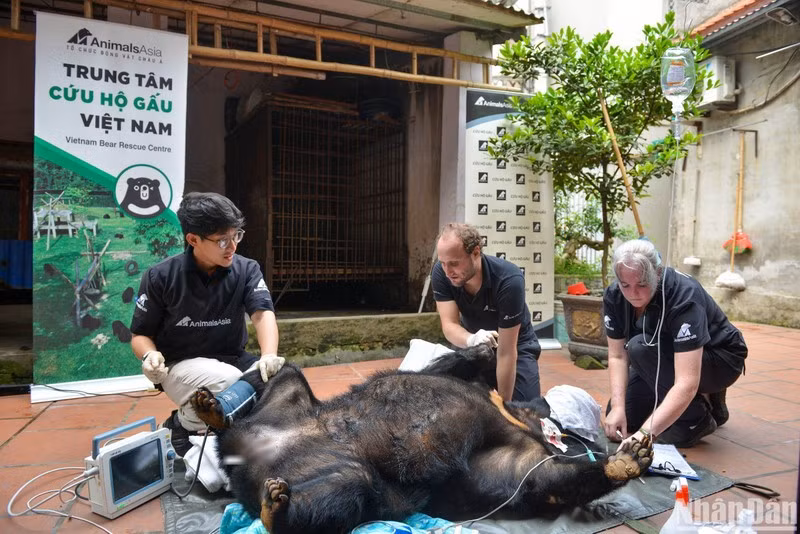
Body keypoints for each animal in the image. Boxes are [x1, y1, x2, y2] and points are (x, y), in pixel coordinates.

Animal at [190, 346, 653, 534]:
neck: (519, 418)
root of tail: (243, 465)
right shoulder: (482, 391)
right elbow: (442, 368)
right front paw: (484, 346)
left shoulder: (515, 461)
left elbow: (543, 483)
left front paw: (624, 460)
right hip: (285, 407)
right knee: (287, 372)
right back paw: (213, 411)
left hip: (332, 475)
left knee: (347, 488)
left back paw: (275, 512)